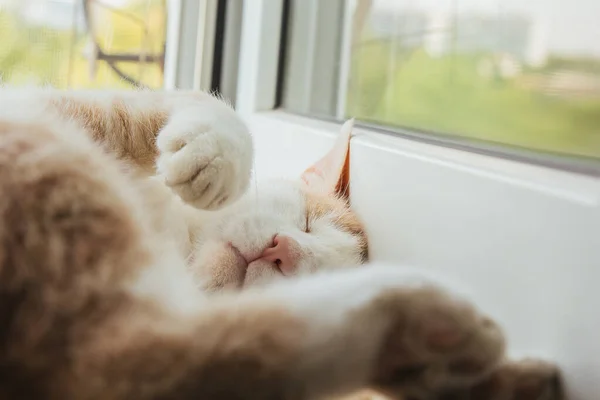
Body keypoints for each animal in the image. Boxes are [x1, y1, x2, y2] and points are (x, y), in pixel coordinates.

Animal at [0, 87, 564, 400]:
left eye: (305, 252)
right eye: (309, 222)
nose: (283, 251)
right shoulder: (41, 106)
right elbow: (184, 101)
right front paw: (215, 154)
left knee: (130, 360)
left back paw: (439, 342)